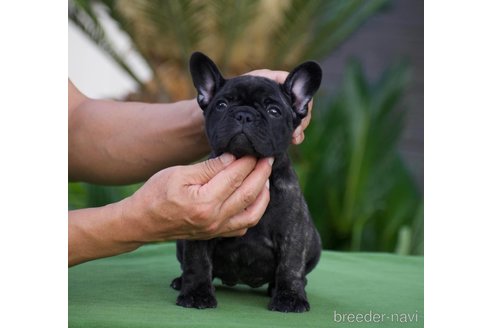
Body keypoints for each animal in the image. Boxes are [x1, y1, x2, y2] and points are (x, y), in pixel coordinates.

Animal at [172, 52, 322, 312]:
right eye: (221, 105)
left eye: (274, 111)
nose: (244, 115)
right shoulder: (200, 230)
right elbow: (198, 262)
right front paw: (196, 294)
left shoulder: (292, 232)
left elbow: (290, 265)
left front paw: (290, 298)